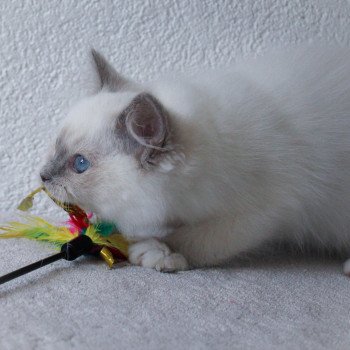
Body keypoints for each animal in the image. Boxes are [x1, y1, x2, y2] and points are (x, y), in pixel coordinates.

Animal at [39, 45, 350, 272]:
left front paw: (155, 250)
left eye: (80, 164)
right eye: (56, 146)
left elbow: (199, 240)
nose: (43, 176)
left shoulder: (264, 210)